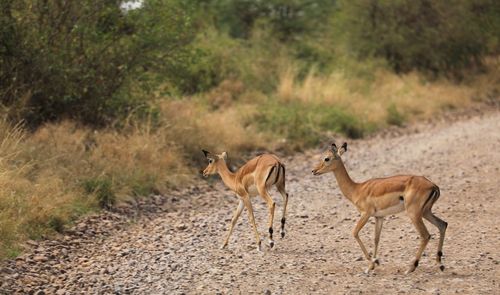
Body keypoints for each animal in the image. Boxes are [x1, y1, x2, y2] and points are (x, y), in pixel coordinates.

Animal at [312, 143, 450, 276]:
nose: (314, 170)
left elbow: (355, 233)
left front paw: (372, 263)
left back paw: (410, 268)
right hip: (426, 212)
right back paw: (440, 265)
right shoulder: (379, 217)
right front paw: (372, 265)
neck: (357, 189)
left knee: (426, 235)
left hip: (414, 214)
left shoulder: (365, 214)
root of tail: (433, 186)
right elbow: (376, 239)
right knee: (442, 224)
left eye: (326, 158)